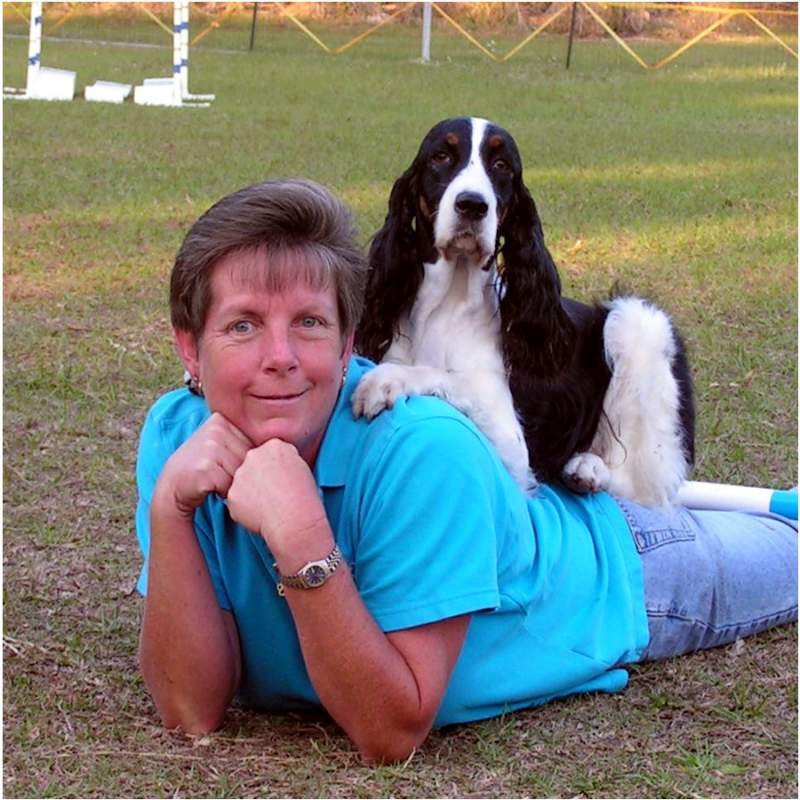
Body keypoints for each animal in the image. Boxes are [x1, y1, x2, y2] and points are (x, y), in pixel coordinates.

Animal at [350, 117, 692, 506]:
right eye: (441, 156)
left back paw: (588, 468)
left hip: (636, 321)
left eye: (502, 166)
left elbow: (448, 376)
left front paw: (383, 381)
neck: (446, 304)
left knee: (640, 487)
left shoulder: (512, 446)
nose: (472, 205)